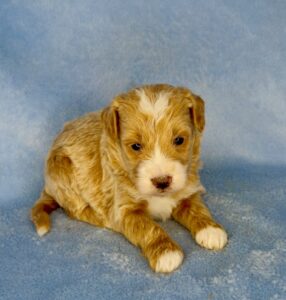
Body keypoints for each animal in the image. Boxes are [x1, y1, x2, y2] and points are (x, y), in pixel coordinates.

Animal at [30, 84, 228, 274]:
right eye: (135, 146)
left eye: (179, 140)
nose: (162, 181)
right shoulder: (125, 210)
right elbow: (148, 228)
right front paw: (166, 253)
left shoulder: (186, 191)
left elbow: (198, 209)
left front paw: (211, 229)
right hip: (62, 171)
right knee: (75, 209)